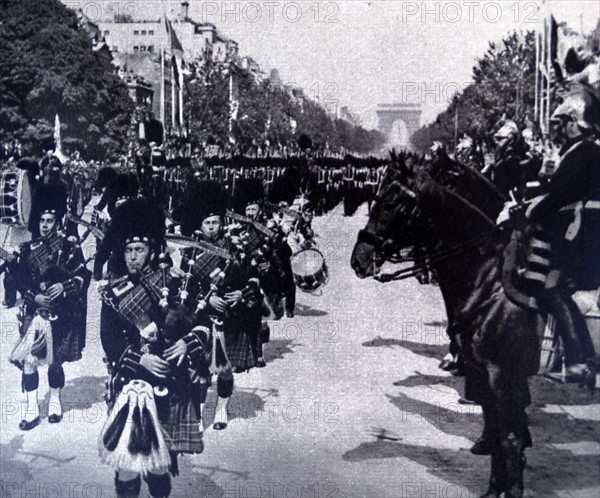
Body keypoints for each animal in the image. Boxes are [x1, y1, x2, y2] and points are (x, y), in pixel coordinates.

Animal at [350, 165, 540, 496]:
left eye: (390, 204)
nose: (358, 259)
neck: (489, 284)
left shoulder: (502, 374)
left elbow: (509, 437)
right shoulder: (484, 373)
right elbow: (498, 430)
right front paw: (494, 486)